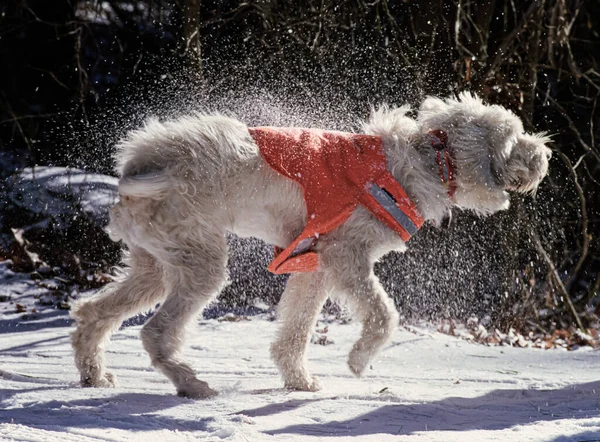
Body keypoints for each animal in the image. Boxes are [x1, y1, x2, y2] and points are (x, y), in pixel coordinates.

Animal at [71, 92, 552, 398]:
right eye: (513, 138)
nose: (546, 155)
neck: (428, 159)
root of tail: (142, 167)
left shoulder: (314, 265)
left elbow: (296, 330)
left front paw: (298, 382)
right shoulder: (345, 257)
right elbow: (384, 315)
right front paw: (358, 361)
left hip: (155, 262)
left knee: (93, 312)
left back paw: (95, 375)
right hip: (199, 263)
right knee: (155, 333)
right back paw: (192, 385)